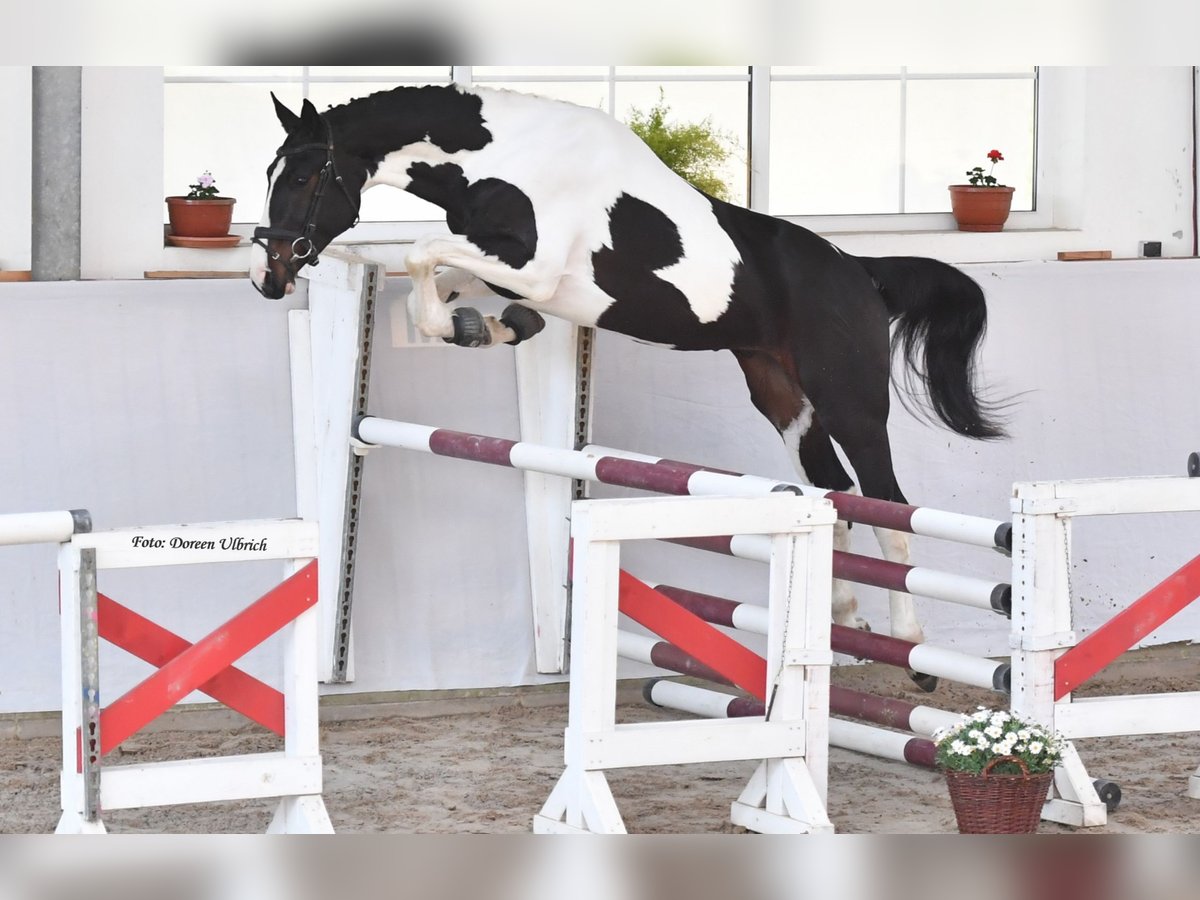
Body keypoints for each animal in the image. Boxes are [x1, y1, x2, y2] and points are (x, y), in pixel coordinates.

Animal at [250, 85, 1006, 687]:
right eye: (271, 172)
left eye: (307, 175)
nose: (270, 276)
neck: (506, 158)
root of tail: (861, 270)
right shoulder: (513, 270)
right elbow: (440, 282)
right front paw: (480, 328)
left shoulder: (536, 268)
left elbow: (420, 255)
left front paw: (469, 325)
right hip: (782, 396)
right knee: (836, 495)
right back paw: (842, 622)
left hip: (851, 400)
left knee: (889, 507)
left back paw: (911, 650)